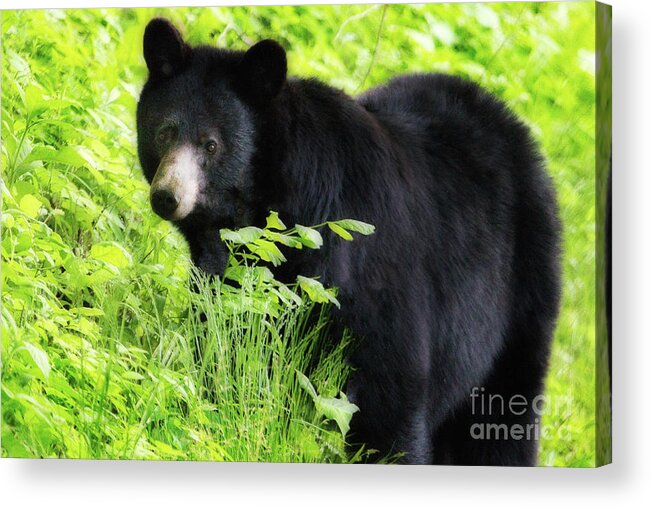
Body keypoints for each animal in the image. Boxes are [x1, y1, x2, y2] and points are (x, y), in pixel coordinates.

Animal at [136, 18, 560, 464]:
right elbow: (227, 350)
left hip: (521, 297)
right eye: (165, 133)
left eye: (211, 144)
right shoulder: (232, 281)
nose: (167, 195)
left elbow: (392, 388)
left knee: (502, 415)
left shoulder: (369, 268)